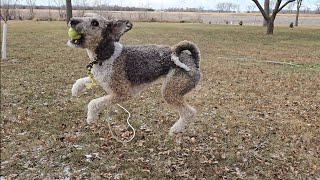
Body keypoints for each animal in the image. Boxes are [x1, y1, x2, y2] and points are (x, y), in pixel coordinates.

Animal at [69, 14, 201, 135]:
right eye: (84, 15)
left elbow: (93, 103)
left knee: (190, 112)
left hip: (170, 92)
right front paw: (75, 90)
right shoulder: (99, 78)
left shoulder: (123, 93)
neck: (107, 55)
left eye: (95, 23)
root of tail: (194, 59)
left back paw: (176, 129)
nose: (72, 20)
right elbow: (81, 80)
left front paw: (91, 117)